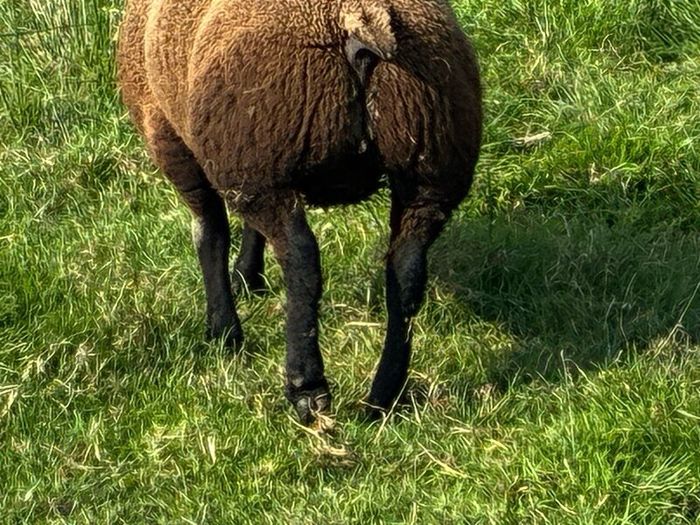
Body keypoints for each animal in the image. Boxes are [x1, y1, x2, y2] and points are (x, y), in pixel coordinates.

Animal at [117, 0, 482, 424]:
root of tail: (363, 22)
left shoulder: (168, 133)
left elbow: (209, 234)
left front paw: (223, 331)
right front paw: (247, 278)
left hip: (264, 154)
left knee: (301, 259)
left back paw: (306, 387)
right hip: (432, 168)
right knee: (406, 270)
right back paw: (383, 395)